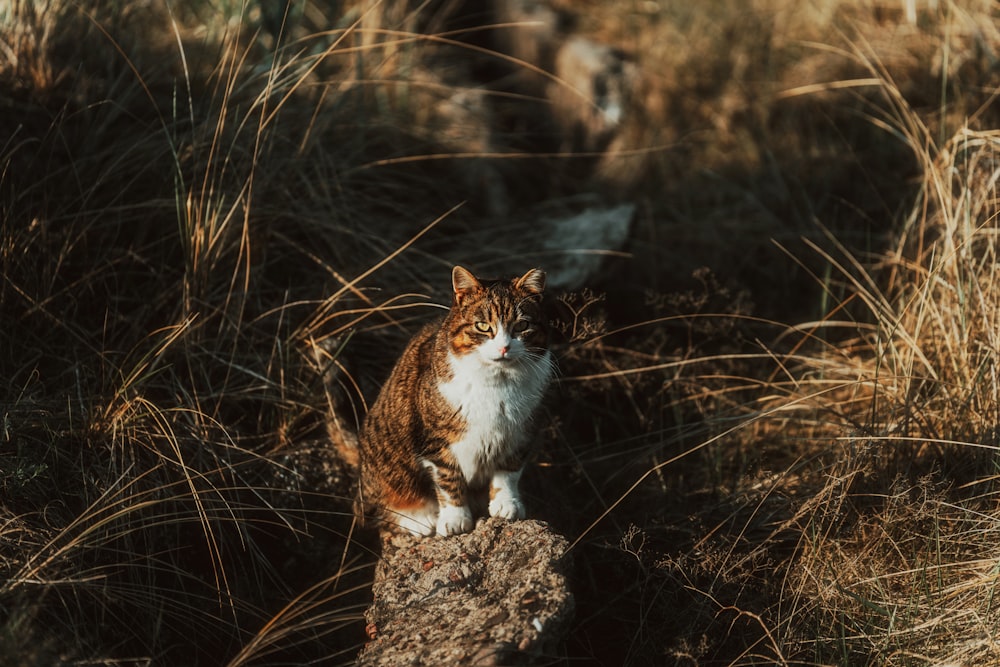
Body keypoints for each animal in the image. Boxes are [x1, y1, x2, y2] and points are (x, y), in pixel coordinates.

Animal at [358, 264, 556, 536]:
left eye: (522, 325)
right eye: (482, 325)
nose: (504, 348)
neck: (497, 383)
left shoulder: (521, 433)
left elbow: (508, 472)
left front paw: (506, 503)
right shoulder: (435, 440)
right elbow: (448, 478)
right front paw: (455, 519)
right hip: (385, 456)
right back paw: (418, 519)